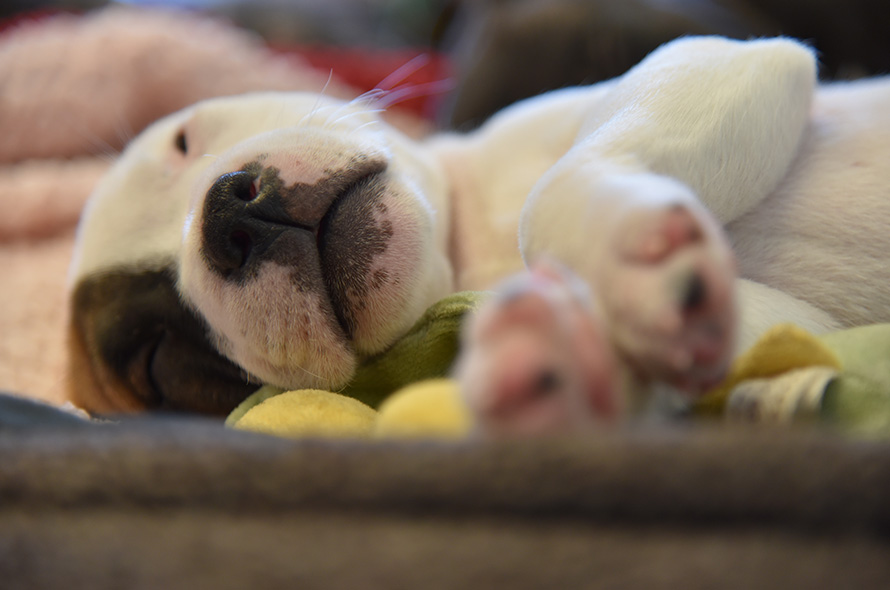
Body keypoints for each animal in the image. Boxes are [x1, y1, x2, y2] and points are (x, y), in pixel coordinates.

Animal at [67, 37, 888, 416]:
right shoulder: (793, 333)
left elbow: (550, 197)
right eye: (159, 362)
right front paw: (571, 353)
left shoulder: (712, 65)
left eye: (183, 141)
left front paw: (625, 253)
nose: (231, 216)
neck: (467, 249)